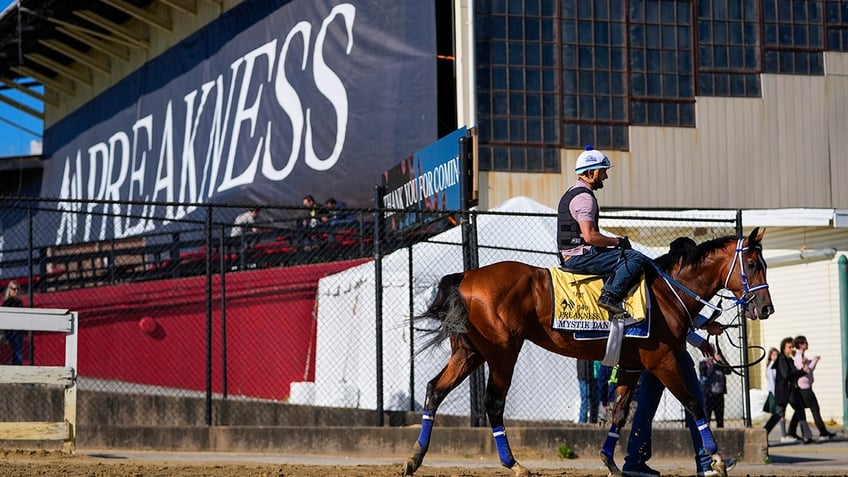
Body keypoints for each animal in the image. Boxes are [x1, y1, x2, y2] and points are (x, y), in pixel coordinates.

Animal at [404, 227, 776, 476]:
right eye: (753, 263)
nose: (766, 308)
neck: (667, 292)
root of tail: (467, 276)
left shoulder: (631, 366)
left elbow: (619, 414)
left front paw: (610, 461)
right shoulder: (663, 361)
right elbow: (694, 403)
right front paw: (716, 458)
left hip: (469, 353)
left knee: (434, 390)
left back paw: (416, 456)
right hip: (501, 354)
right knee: (493, 403)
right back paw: (513, 463)